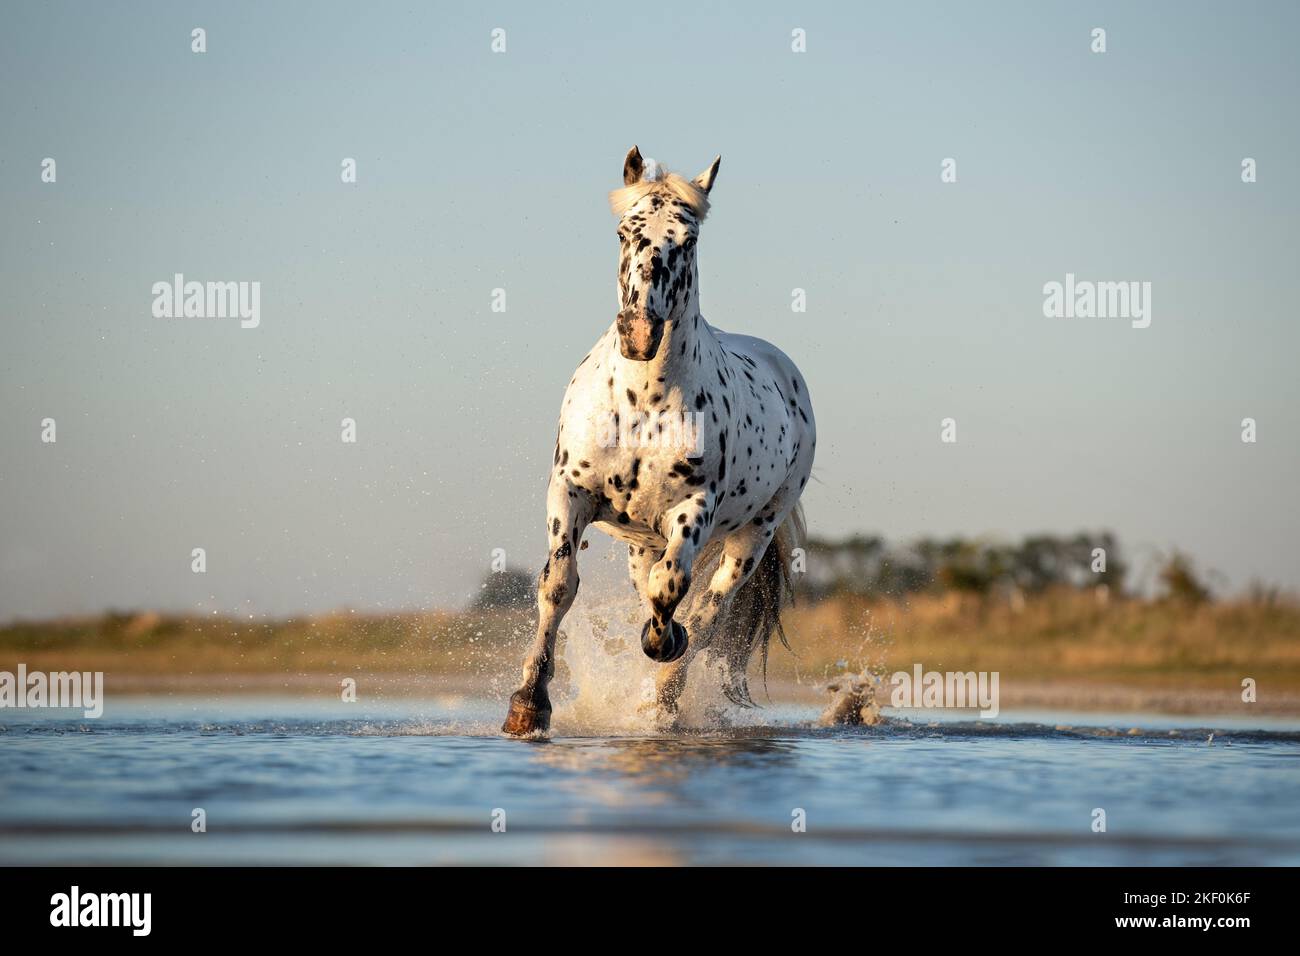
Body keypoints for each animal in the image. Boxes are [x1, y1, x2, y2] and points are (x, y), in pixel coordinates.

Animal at [502, 146, 816, 736]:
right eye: (624, 232)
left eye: (687, 240)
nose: (640, 332)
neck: (642, 401)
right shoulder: (569, 493)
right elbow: (558, 586)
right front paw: (528, 704)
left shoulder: (694, 510)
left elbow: (671, 589)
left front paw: (663, 643)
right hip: (639, 540)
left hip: (752, 534)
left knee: (709, 611)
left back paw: (665, 697)